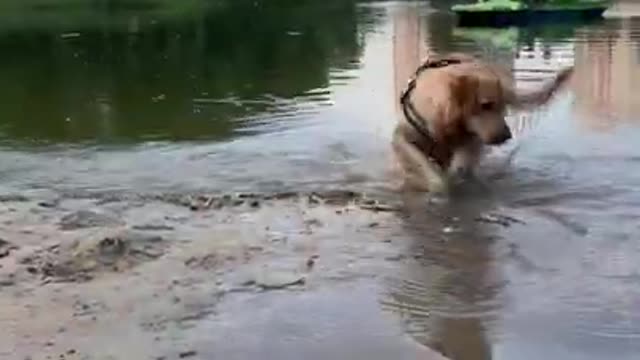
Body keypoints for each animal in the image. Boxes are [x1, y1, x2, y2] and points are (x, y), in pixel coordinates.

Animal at [392, 52, 572, 194]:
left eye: (503, 108)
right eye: (486, 105)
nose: (507, 136)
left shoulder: (470, 142)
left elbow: (460, 165)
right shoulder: (401, 138)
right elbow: (425, 168)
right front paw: (438, 185)